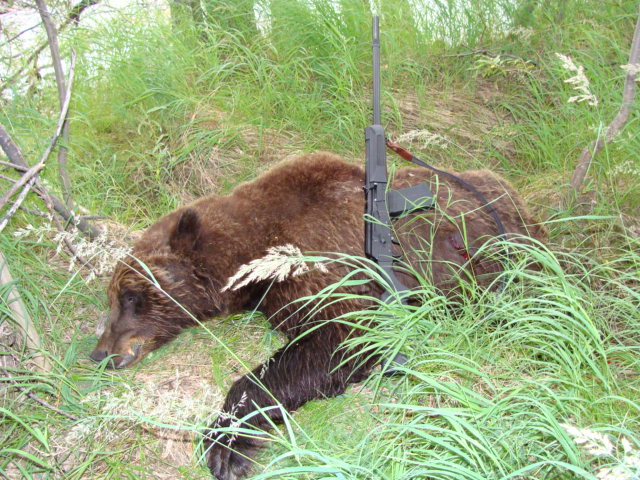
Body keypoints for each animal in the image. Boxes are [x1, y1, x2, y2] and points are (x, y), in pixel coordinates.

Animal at [90, 152, 545, 480]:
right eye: (115, 296)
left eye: (129, 296)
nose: (100, 353)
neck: (254, 256)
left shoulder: (328, 263)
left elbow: (338, 337)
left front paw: (227, 446)